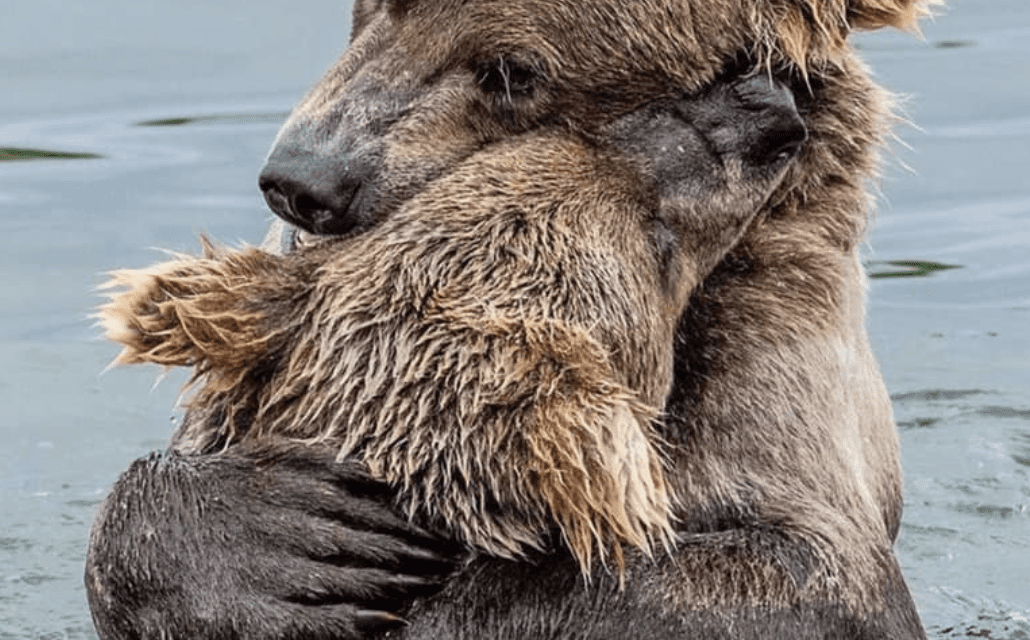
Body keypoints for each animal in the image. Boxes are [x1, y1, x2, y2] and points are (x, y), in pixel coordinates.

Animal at [84, 0, 939, 634]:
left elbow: (793, 564)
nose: (302, 181)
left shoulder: (768, 366)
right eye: (376, 2)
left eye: (513, 71)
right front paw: (290, 542)